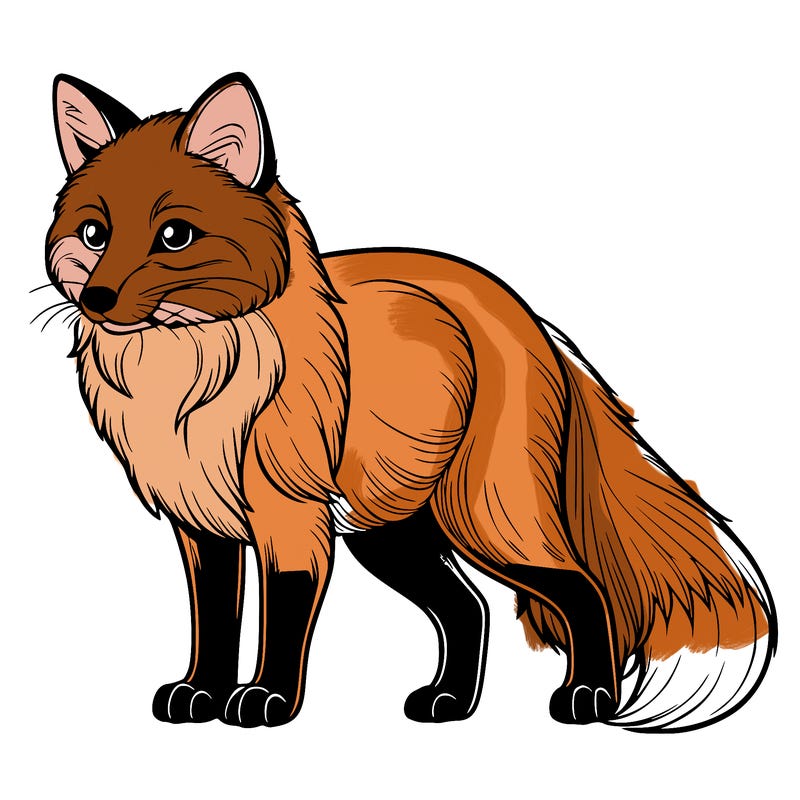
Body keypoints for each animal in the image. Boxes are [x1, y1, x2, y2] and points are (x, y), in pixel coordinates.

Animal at [44, 72, 775, 732]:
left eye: (174, 236)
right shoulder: (203, 523)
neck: (187, 385)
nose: (98, 299)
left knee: (580, 587)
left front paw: (268, 699)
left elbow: (282, 617)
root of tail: (528, 316)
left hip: (485, 518)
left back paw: (588, 697)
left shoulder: (290, 517)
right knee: (470, 608)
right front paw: (201, 693)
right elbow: (216, 619)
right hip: (391, 534)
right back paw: (450, 702)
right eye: (93, 234)